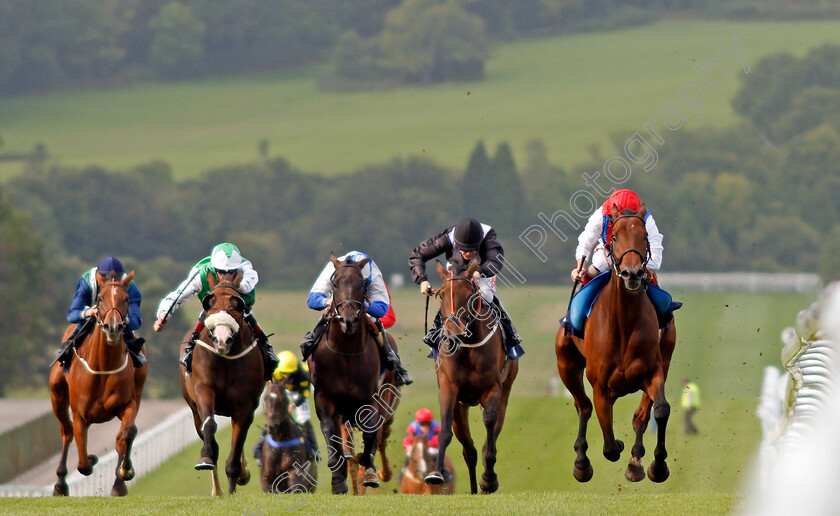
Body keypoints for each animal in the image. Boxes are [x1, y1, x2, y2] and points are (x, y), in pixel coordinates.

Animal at [49, 270, 148, 496]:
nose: (113, 327)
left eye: (126, 299)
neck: (103, 367)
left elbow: (128, 433)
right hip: (57, 394)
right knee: (66, 431)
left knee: (121, 438)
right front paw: (92, 458)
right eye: (100, 299)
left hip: (139, 389)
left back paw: (118, 484)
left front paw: (125, 471)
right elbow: (83, 464)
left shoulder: (128, 403)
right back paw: (60, 484)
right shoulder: (80, 414)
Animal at [180, 270, 262, 496]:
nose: (222, 340)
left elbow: (237, 444)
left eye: (238, 304)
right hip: (194, 410)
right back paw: (216, 490)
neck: (225, 359)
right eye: (209, 302)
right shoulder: (203, 391)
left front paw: (236, 478)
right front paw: (206, 458)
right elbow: (210, 426)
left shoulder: (245, 405)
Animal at [308, 252, 388, 494]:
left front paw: (368, 469)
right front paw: (337, 479)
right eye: (335, 283)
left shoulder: (371, 398)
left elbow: (371, 431)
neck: (347, 354)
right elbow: (329, 432)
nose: (348, 320)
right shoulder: (324, 398)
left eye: (362, 283)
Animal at [426, 260, 520, 494]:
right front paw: (436, 473)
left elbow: (489, 422)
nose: (454, 333)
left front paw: (489, 478)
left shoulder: (492, 388)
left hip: (505, 391)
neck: (467, 346)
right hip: (461, 406)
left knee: (492, 432)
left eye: (469, 294)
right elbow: (445, 430)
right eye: (441, 294)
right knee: (469, 450)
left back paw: (486, 480)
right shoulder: (449, 388)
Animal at [556, 205, 680, 484]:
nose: (632, 274)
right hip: (566, 362)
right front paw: (614, 448)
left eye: (644, 237)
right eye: (614, 237)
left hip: (666, 356)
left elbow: (660, 410)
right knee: (583, 406)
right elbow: (610, 445)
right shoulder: (600, 385)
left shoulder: (654, 370)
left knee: (640, 415)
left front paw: (657, 465)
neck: (624, 323)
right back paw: (581, 463)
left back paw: (635, 462)